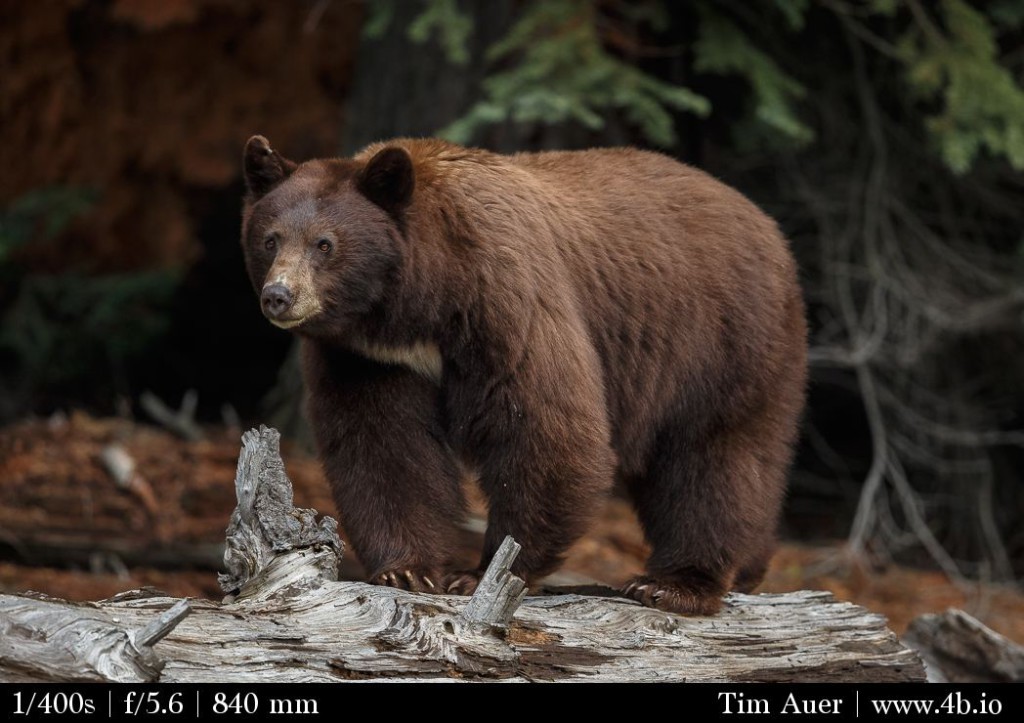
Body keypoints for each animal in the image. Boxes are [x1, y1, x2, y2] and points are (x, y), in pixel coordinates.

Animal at [240, 134, 807, 616]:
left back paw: (675, 584)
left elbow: (545, 431)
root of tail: (766, 223)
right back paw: (747, 569)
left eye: (325, 244)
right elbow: (383, 445)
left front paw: (478, 573)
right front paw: (408, 570)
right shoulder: (367, 358)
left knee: (714, 458)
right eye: (269, 240)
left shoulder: (505, 301)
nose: (279, 296)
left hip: (724, 341)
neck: (414, 305)